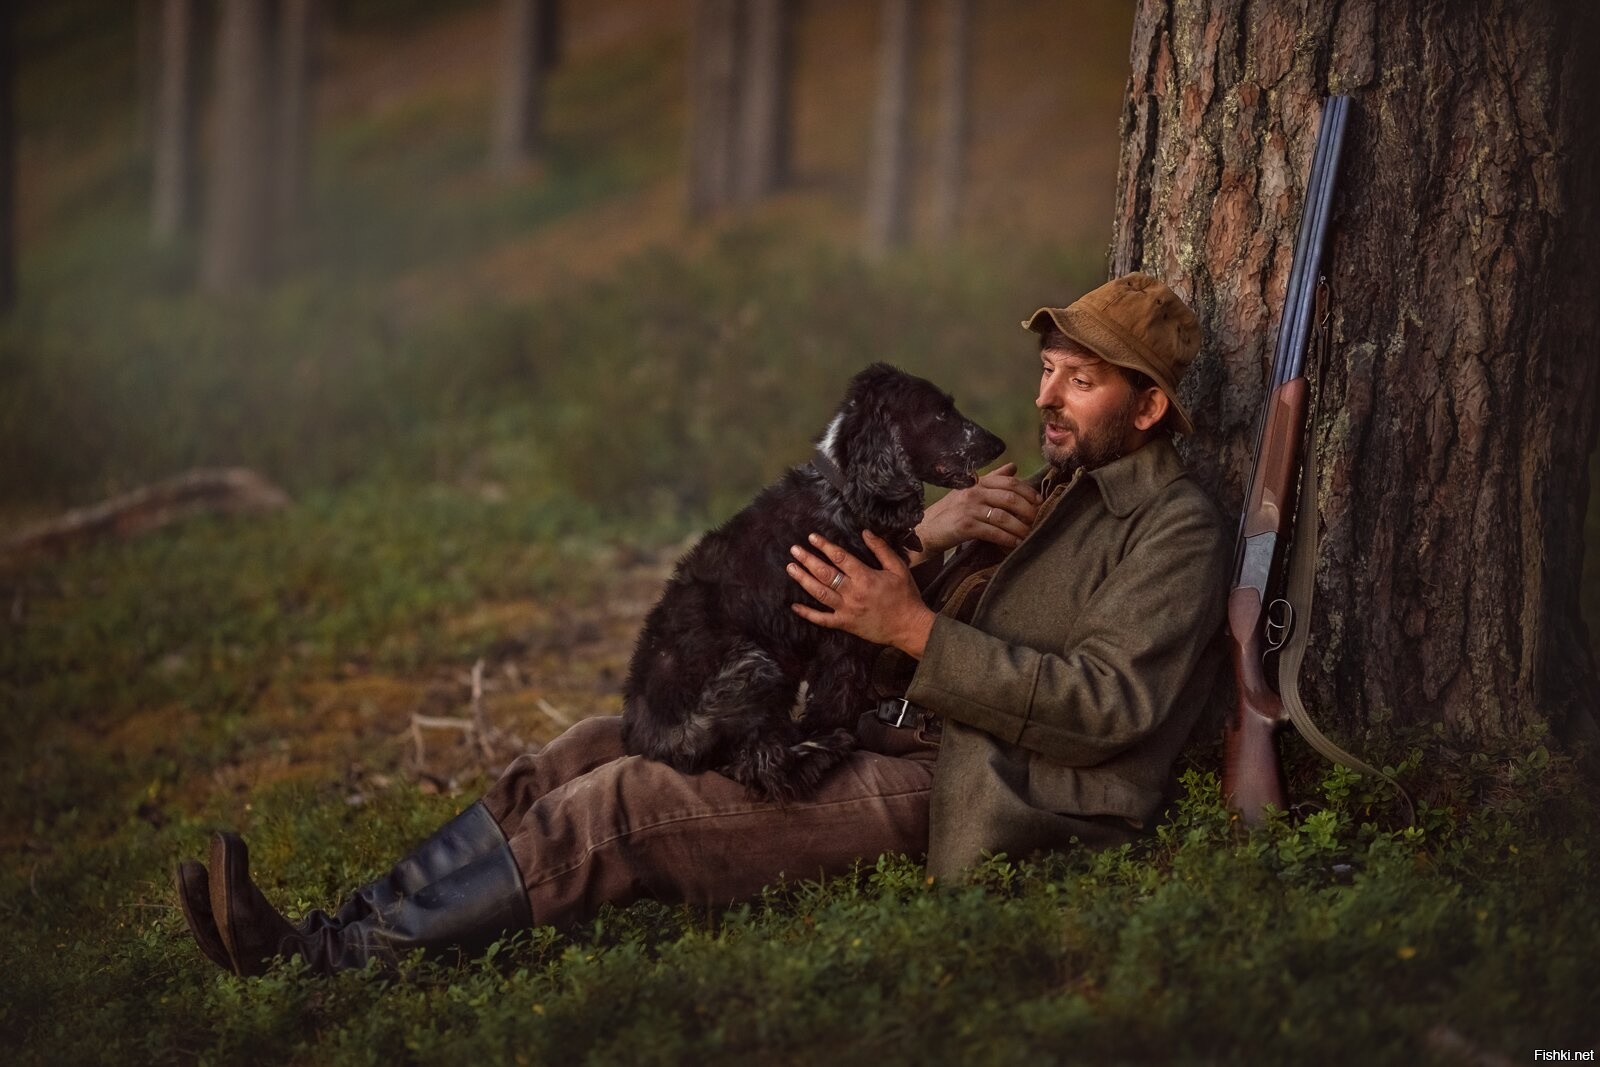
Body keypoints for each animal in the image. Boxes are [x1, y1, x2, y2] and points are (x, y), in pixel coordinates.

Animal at [620, 364, 998, 799]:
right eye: (940, 413)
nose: (998, 444)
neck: (844, 493)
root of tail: (651, 743)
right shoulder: (845, 633)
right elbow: (837, 698)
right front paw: (830, 732)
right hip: (754, 666)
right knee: (761, 764)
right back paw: (824, 747)